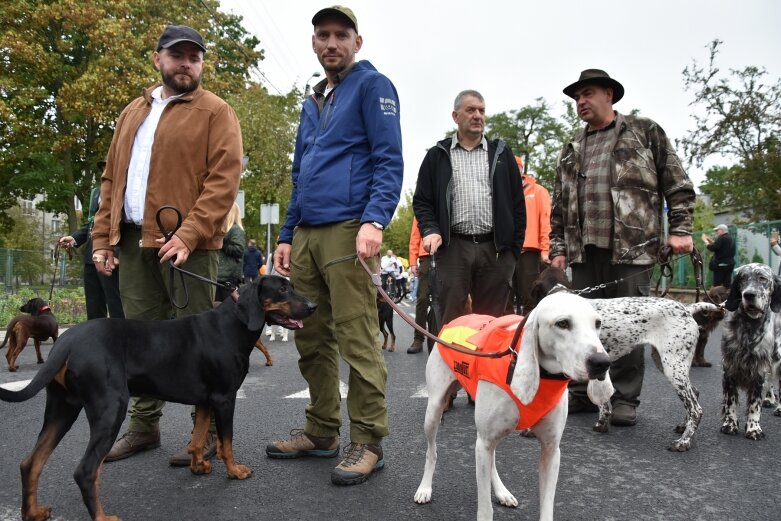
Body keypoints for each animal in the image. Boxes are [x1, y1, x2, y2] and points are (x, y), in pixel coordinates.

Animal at [414, 292, 616, 520]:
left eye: (597, 323)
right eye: (562, 323)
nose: (601, 362)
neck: (543, 376)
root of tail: (457, 319)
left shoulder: (551, 450)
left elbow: (547, 505)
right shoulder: (484, 442)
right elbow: (485, 509)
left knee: (491, 459)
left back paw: (502, 492)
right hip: (434, 412)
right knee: (432, 451)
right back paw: (425, 488)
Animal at [720, 262, 780, 436]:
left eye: (762, 278)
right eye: (742, 278)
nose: (749, 295)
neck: (749, 328)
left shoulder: (759, 370)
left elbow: (755, 403)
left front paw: (754, 428)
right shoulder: (729, 368)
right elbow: (730, 401)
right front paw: (730, 424)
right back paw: (769, 399)